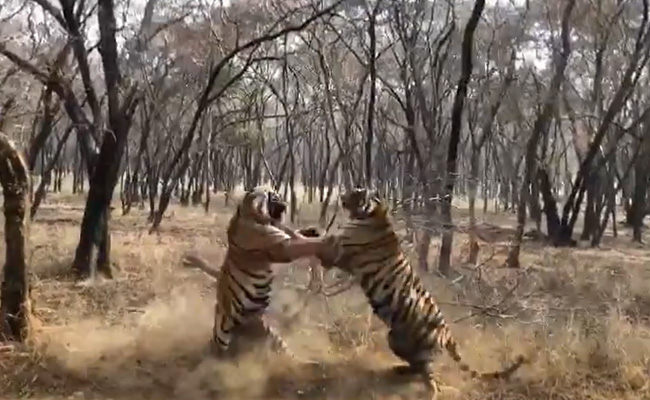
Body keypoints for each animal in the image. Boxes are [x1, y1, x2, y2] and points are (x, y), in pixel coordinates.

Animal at [181, 186, 340, 360]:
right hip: (222, 335)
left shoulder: (282, 237)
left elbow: (298, 234)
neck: (247, 212)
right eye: (275, 198)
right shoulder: (282, 247)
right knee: (216, 351)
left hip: (270, 337)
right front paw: (330, 242)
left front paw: (313, 231)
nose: (286, 204)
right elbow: (306, 244)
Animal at [315, 187, 527, 399]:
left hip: (424, 352)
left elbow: (325, 244)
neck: (374, 211)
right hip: (395, 339)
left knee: (431, 380)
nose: (341, 195)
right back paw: (401, 370)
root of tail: (448, 332)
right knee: (415, 366)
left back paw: (428, 391)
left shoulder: (340, 253)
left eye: (354, 192)